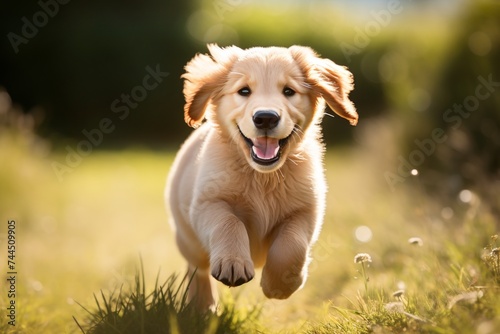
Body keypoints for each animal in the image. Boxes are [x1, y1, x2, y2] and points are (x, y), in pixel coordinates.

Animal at [166, 44, 358, 310]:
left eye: (288, 91)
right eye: (244, 91)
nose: (266, 117)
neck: (262, 176)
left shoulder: (307, 210)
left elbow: (291, 246)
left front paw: (279, 285)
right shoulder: (208, 203)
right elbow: (229, 222)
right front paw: (233, 263)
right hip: (187, 238)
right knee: (198, 268)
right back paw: (202, 305)